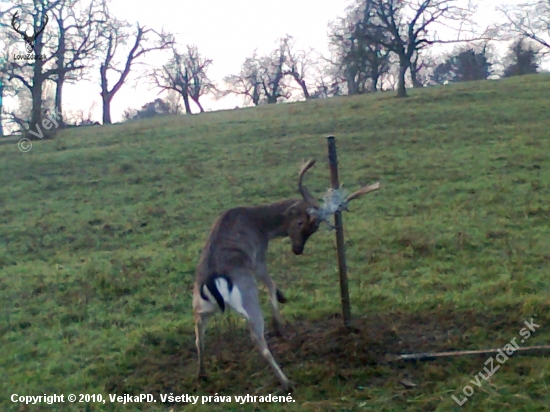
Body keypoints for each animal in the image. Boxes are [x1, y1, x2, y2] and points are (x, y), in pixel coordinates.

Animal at [193, 158, 380, 390]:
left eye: (314, 230)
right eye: (300, 222)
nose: (298, 250)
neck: (260, 225)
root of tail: (212, 282)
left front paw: (282, 303)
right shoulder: (258, 256)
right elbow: (269, 284)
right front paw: (280, 323)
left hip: (201, 306)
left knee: (199, 334)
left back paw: (202, 374)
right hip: (247, 299)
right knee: (258, 339)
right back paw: (286, 381)